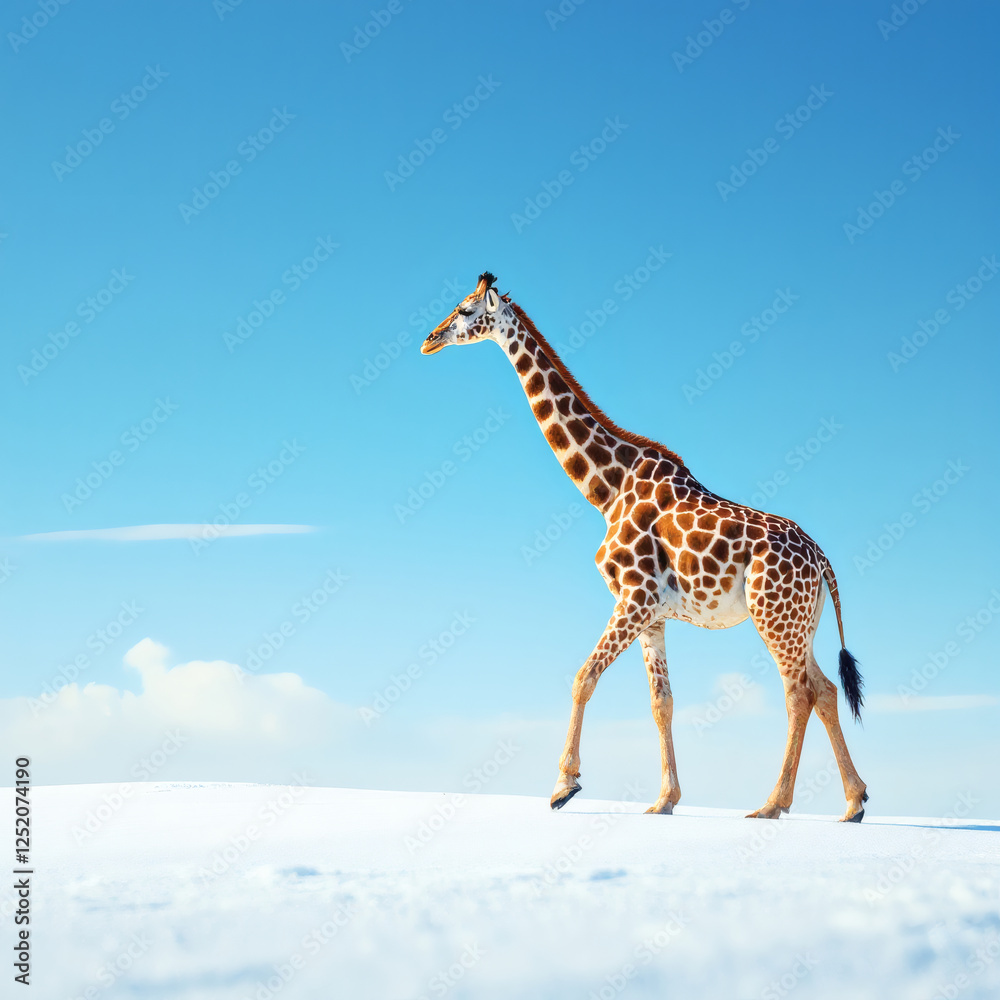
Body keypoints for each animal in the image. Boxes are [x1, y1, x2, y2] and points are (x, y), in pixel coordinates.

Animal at [420, 272, 868, 823]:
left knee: (797, 693)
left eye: (464, 310)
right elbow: (661, 703)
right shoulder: (651, 612)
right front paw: (664, 800)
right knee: (824, 689)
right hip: (798, 621)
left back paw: (772, 804)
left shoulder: (633, 597)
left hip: (774, 615)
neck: (606, 489)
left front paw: (563, 785)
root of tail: (823, 560)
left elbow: (582, 676)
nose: (429, 339)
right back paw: (853, 802)